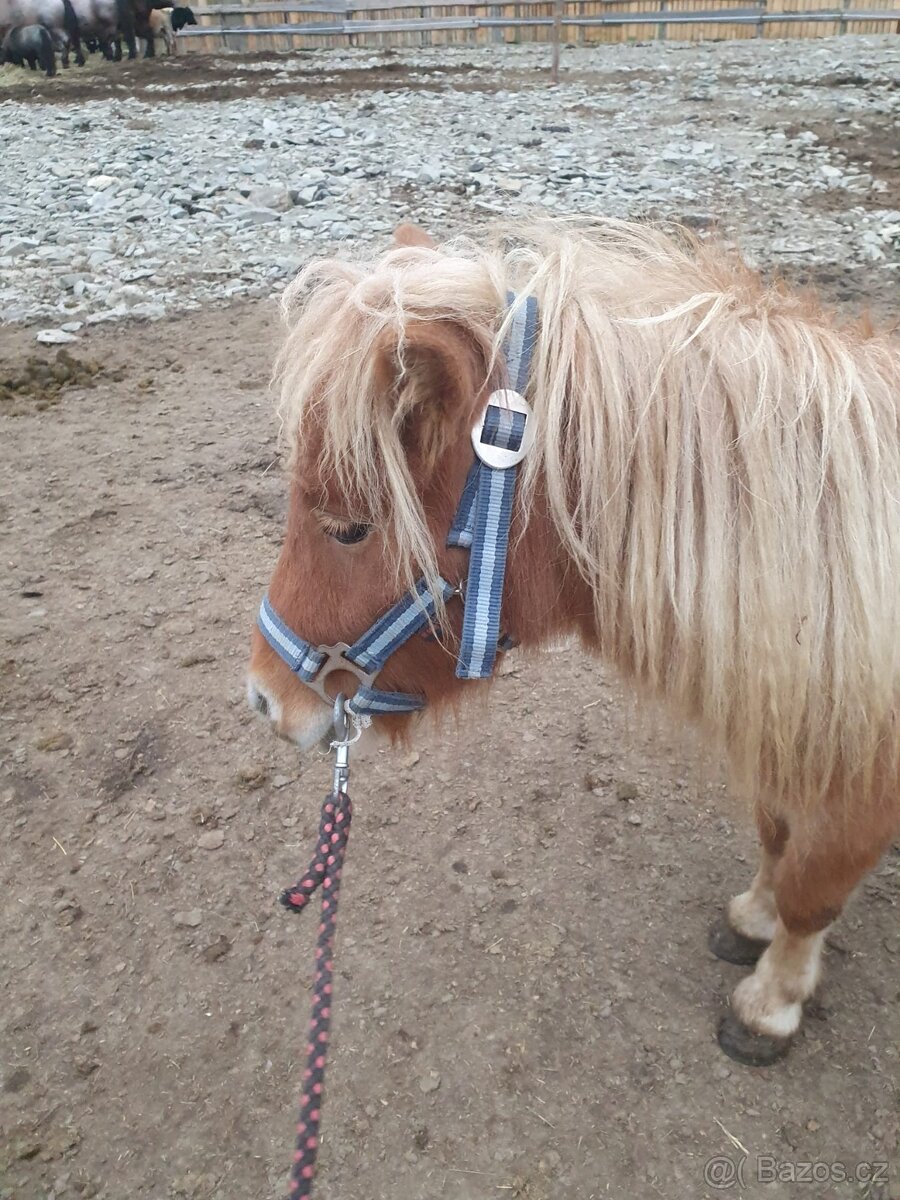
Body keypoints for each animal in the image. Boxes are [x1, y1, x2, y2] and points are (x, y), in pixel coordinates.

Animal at [246, 218, 900, 1068]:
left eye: (349, 528)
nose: (263, 697)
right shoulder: (797, 730)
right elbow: (778, 837)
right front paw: (754, 920)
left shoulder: (862, 782)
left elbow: (812, 887)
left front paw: (773, 1001)